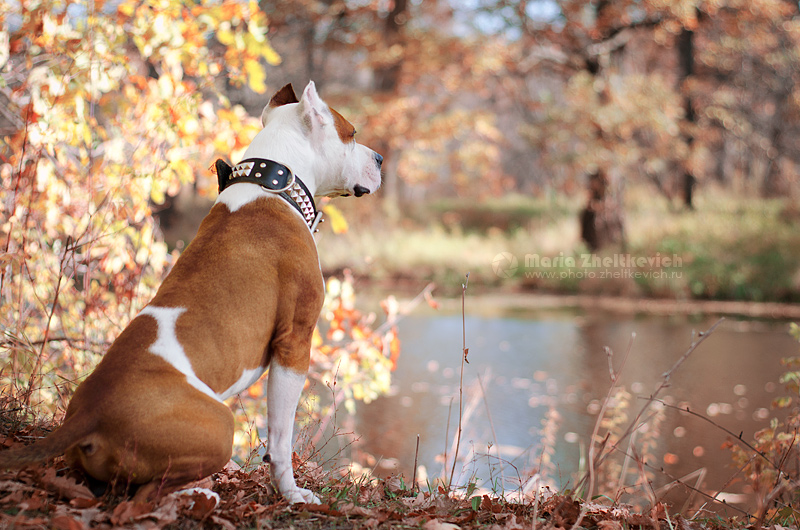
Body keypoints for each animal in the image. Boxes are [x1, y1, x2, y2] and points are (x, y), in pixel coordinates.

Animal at [0, 80, 384, 502]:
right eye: (351, 134)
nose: (380, 158)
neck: (272, 185)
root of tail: (89, 413)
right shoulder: (294, 344)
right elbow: (281, 437)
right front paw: (292, 493)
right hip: (220, 424)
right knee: (145, 495)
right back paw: (198, 495)